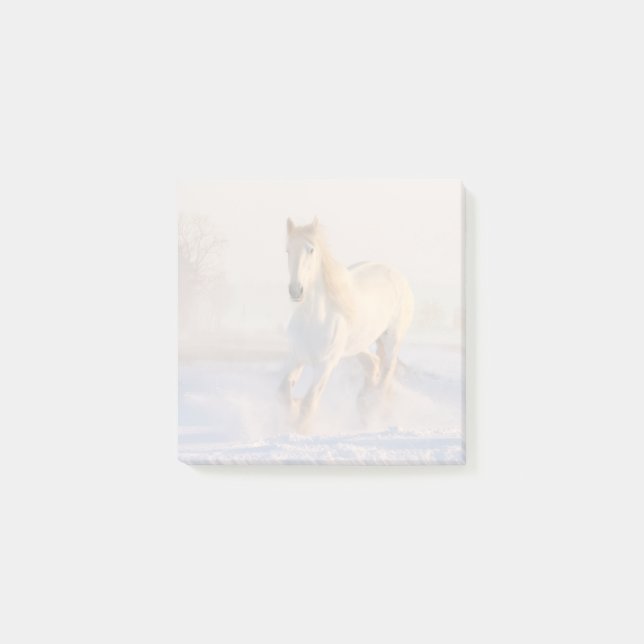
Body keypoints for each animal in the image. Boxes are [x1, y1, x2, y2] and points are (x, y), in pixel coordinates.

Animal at [280, 216, 415, 432]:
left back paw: (374, 409)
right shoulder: (296, 357)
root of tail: (396, 274)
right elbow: (284, 392)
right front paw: (292, 413)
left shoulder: (326, 365)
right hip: (358, 345)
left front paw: (300, 429)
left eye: (311, 250)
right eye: (287, 250)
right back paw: (364, 405)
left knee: (386, 373)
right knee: (373, 364)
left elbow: (309, 404)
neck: (314, 319)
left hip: (392, 339)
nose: (296, 290)